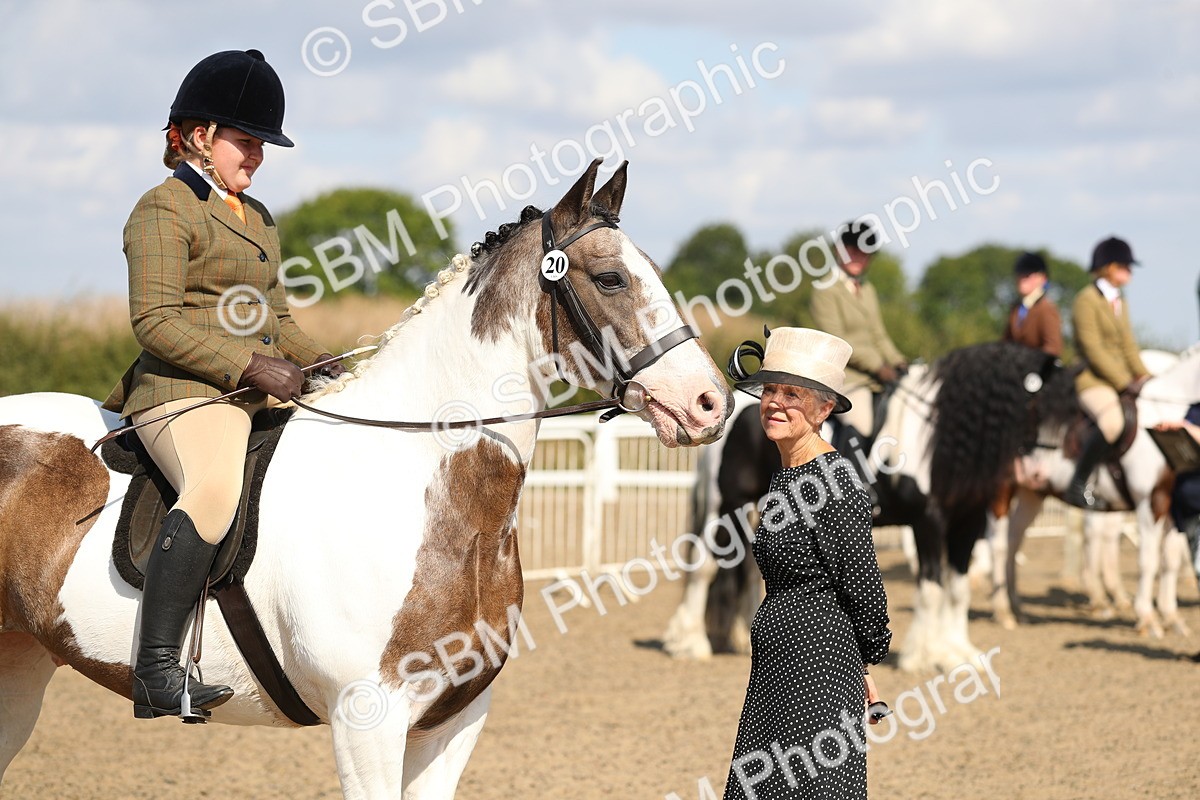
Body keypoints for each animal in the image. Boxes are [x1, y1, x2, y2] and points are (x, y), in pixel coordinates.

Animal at [0, 159, 733, 798]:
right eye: (610, 279)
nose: (710, 402)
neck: (420, 487)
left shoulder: (455, 721)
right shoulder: (367, 719)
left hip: (23, 664)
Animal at [978, 343, 1199, 636]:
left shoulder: (1175, 505)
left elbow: (1170, 560)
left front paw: (1172, 618)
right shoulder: (1150, 501)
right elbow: (1148, 560)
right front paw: (1147, 618)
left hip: (1032, 493)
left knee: (1014, 540)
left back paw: (1018, 609)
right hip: (1002, 489)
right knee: (999, 544)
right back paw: (1003, 612)